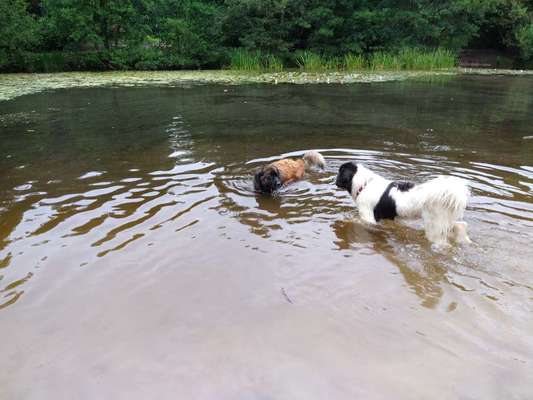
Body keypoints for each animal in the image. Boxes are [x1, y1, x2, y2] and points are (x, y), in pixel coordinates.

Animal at [336, 162, 470, 244]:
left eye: (340, 172)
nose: (335, 181)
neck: (364, 185)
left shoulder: (368, 218)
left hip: (434, 225)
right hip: (444, 219)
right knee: (461, 225)